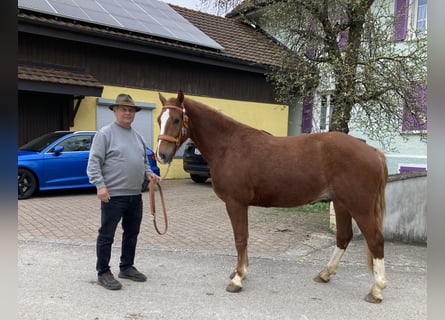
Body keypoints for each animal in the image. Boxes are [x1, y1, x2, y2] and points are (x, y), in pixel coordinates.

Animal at [158, 90, 386, 302]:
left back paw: (377, 289)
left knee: (375, 240)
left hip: (359, 206)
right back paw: (325, 274)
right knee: (344, 237)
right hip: (341, 203)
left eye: (176, 119)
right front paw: (241, 271)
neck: (228, 146)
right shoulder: (241, 204)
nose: (162, 154)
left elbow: (240, 238)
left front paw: (238, 278)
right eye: (160, 119)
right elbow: (244, 238)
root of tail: (373, 152)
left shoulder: (235, 203)